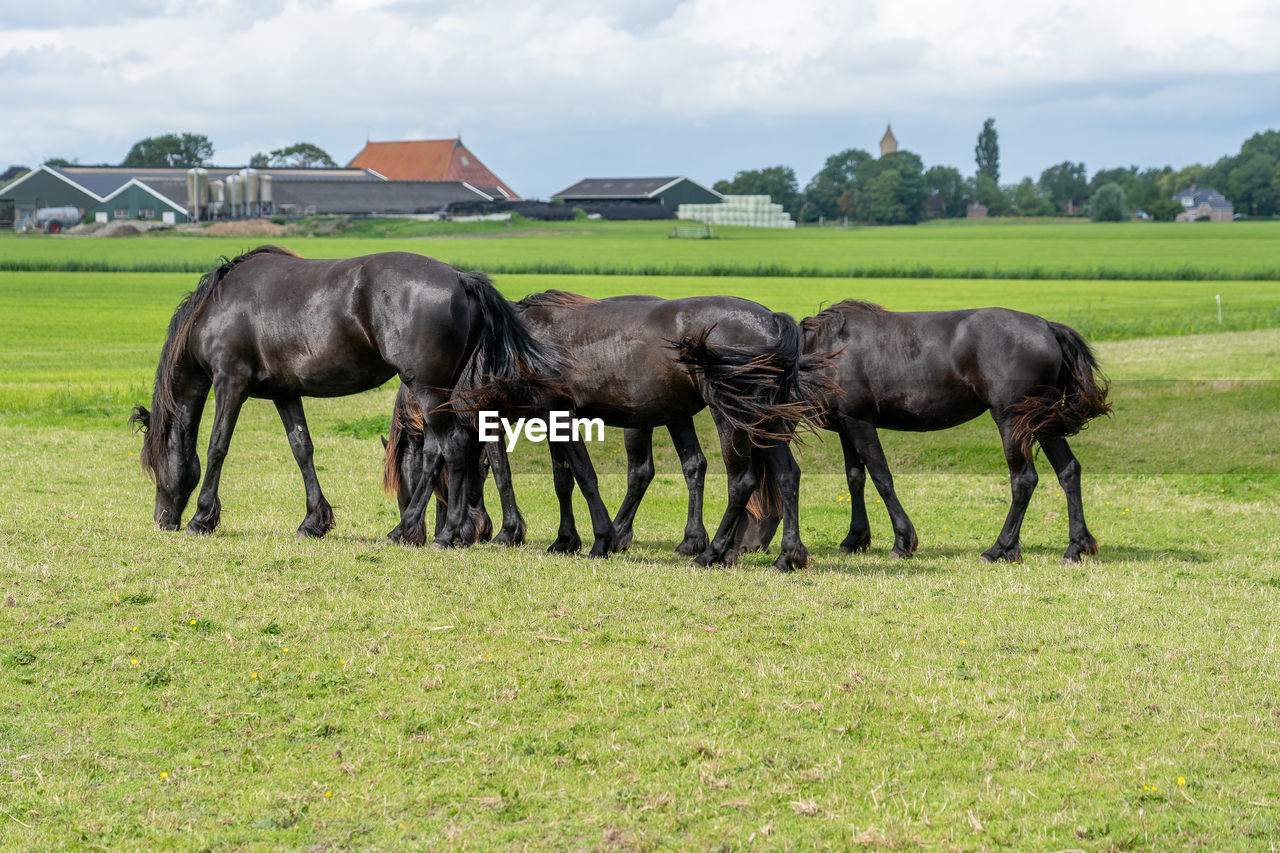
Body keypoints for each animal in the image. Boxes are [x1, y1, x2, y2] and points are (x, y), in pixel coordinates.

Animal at [128, 244, 560, 545]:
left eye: (153, 466)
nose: (162, 521)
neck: (218, 307)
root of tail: (461, 278)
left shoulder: (229, 382)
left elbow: (218, 446)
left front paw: (203, 518)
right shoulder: (285, 393)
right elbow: (302, 449)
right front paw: (313, 521)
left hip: (427, 389)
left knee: (450, 447)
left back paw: (441, 532)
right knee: (448, 449)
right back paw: (419, 530)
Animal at [384, 292, 824, 571]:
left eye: (404, 484)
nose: (412, 533)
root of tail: (771, 321)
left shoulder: (546, 415)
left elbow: (575, 476)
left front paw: (596, 540)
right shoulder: (547, 419)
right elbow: (562, 479)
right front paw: (565, 540)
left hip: (730, 416)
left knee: (741, 480)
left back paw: (712, 553)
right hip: (763, 420)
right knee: (786, 475)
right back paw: (787, 557)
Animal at [742, 300, 1111, 563]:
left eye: (754, 498)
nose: (746, 546)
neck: (826, 352)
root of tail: (1047, 327)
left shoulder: (860, 423)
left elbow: (881, 478)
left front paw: (903, 542)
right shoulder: (846, 426)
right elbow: (854, 479)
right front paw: (854, 539)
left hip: (1012, 421)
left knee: (1024, 480)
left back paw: (1000, 549)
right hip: (1042, 422)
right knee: (1068, 472)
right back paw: (1075, 548)